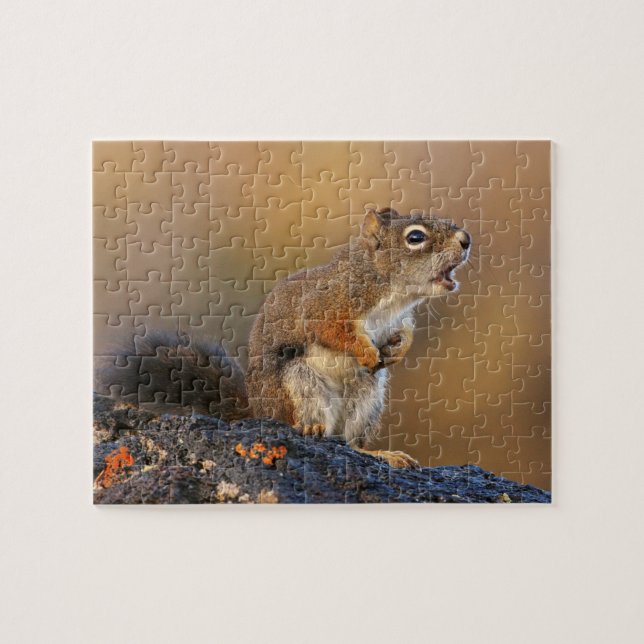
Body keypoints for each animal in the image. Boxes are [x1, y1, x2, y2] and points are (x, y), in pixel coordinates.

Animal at [95, 208, 471, 468]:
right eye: (415, 237)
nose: (466, 240)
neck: (391, 295)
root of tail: (258, 410)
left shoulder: (400, 319)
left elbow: (404, 334)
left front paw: (398, 350)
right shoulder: (326, 307)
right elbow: (335, 332)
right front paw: (365, 351)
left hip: (367, 395)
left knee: (350, 442)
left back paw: (378, 453)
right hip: (298, 382)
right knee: (302, 421)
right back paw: (312, 429)